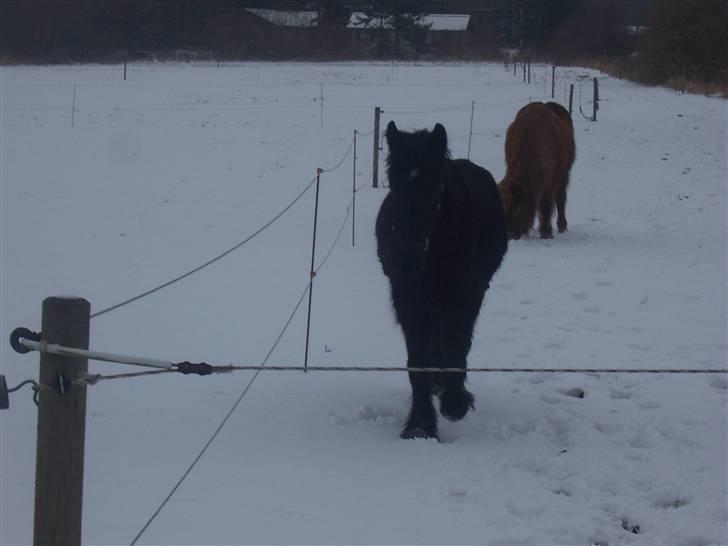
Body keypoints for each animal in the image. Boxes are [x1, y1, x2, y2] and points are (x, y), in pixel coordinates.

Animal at [375, 121, 508, 440]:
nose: (406, 259)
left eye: (435, 189)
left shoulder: (465, 297)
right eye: (393, 185)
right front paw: (420, 425)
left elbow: (457, 343)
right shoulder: (408, 302)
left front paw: (455, 403)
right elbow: (417, 359)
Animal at [498, 101, 576, 240]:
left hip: (564, 174)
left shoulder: (550, 180)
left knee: (560, 198)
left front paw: (546, 232)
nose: (508, 235)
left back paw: (562, 226)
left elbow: (546, 204)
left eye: (516, 208)